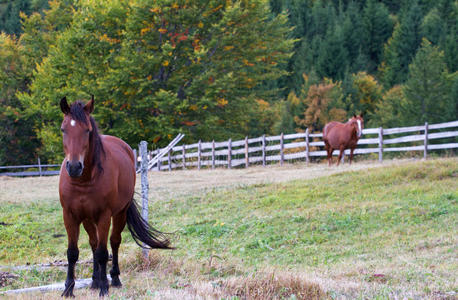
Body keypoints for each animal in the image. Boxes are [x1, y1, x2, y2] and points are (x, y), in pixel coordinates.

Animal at [58, 96, 171, 298]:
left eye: (87, 130)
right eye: (64, 129)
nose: (74, 167)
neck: (84, 181)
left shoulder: (104, 216)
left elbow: (104, 253)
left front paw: (105, 287)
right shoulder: (70, 215)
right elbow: (73, 252)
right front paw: (68, 289)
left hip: (119, 213)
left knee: (114, 242)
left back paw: (114, 279)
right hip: (87, 219)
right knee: (93, 243)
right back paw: (94, 281)